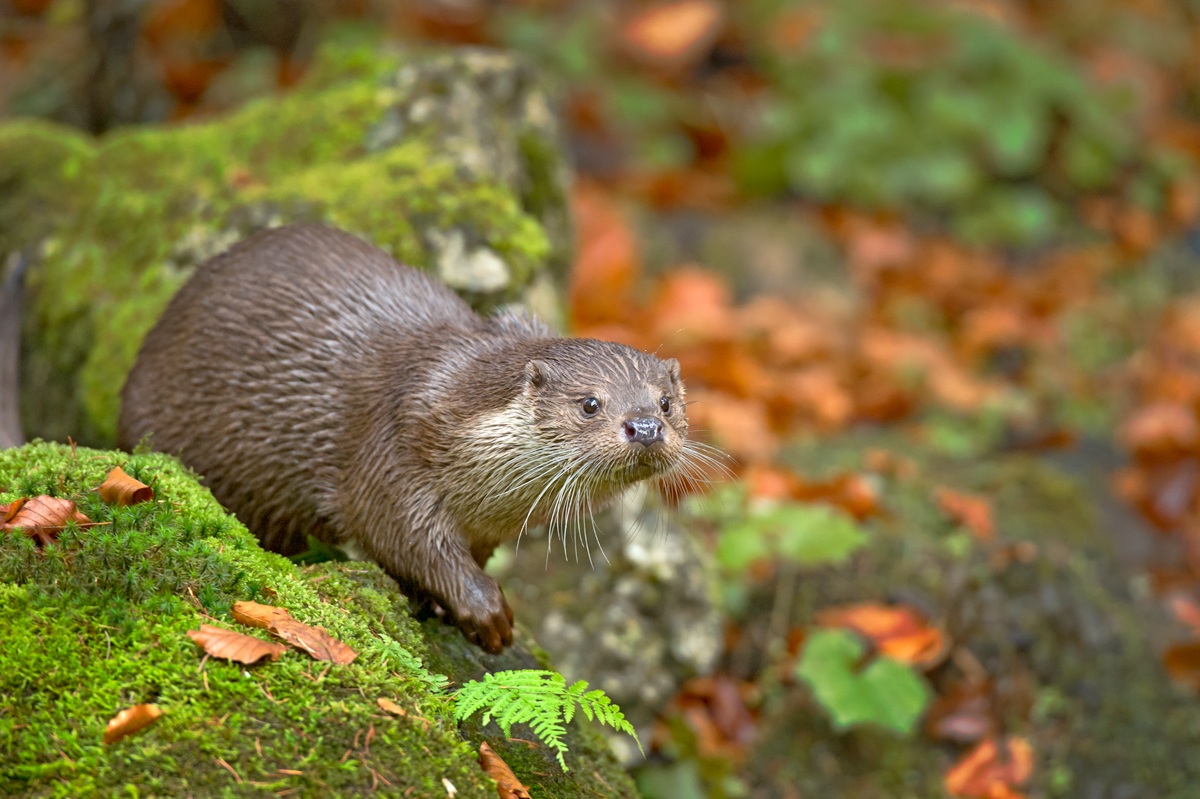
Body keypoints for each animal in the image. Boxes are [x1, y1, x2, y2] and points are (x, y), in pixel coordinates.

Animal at [117, 224, 705, 652]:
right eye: (590, 403)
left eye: (666, 402)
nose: (646, 427)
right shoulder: (391, 452)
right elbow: (404, 536)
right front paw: (485, 611)